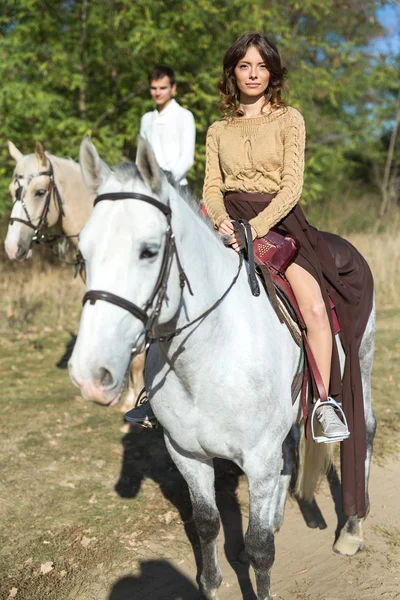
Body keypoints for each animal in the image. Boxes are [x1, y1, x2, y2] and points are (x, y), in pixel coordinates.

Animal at [69, 137, 378, 600]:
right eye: (83, 253)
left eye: (149, 251)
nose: (90, 374)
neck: (208, 359)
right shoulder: (187, 454)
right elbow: (207, 523)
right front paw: (212, 584)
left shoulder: (258, 458)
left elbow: (259, 548)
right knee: (291, 448)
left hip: (361, 363)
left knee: (365, 431)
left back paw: (352, 531)